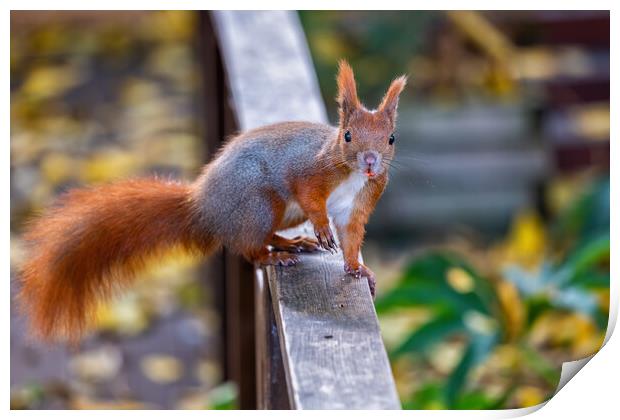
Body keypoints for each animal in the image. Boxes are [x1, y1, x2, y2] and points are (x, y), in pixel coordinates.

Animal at [18, 60, 406, 342]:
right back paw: (275, 256)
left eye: (390, 138)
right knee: (249, 249)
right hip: (260, 204)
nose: (370, 162)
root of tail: (203, 206)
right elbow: (311, 199)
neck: (351, 174)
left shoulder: (360, 202)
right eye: (348, 136)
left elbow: (352, 237)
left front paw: (359, 270)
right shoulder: (309, 172)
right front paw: (323, 229)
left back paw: (291, 242)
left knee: (258, 238)